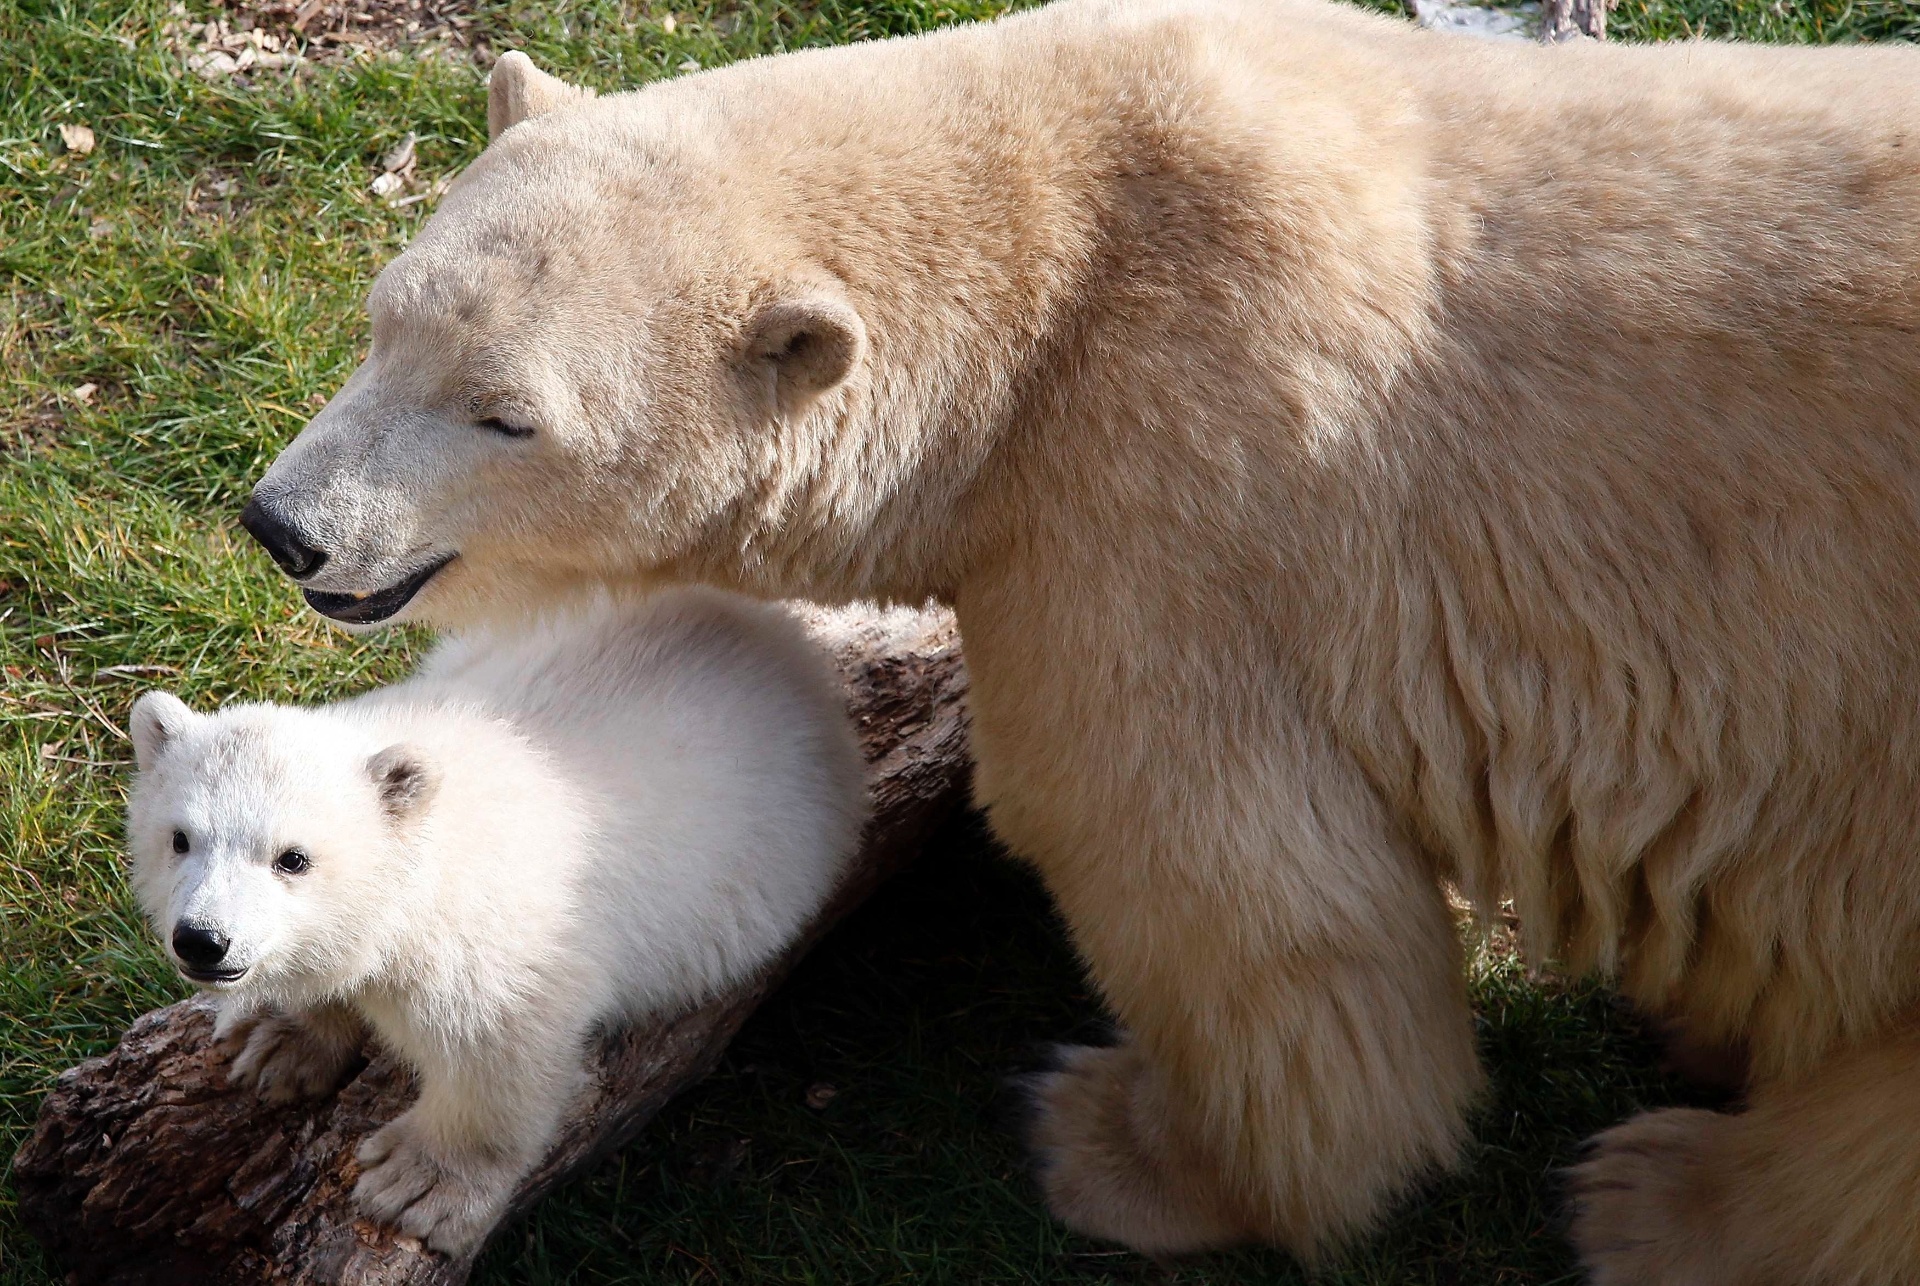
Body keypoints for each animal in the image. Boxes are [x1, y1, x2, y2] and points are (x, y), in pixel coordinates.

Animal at [243, 2, 1920, 1282]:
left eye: (507, 414)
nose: (286, 525)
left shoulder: (1169, 511)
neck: (1058, 264)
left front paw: (1118, 1144)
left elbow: (1232, 892)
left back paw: (1661, 1199)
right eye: (386, 316)